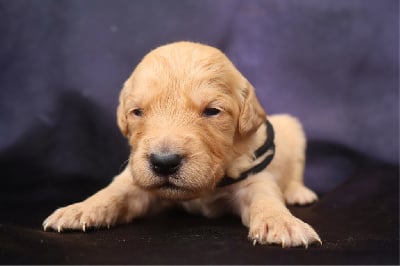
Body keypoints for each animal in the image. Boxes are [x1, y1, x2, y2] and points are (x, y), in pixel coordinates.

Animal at [41, 41, 322, 247]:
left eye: (212, 111)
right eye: (137, 112)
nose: (164, 163)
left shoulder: (254, 178)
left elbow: (265, 198)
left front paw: (281, 223)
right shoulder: (134, 179)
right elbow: (113, 193)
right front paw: (80, 208)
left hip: (294, 128)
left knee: (296, 170)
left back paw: (299, 193)